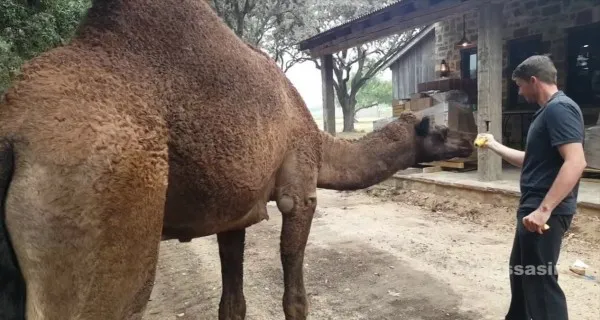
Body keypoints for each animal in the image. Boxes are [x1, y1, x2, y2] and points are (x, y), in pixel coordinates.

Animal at [0, 0, 476, 320]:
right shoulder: (299, 187)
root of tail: (13, 133)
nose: (470, 142)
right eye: (439, 130)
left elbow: (233, 302)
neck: (320, 141)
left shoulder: (232, 211)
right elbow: (295, 293)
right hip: (101, 198)